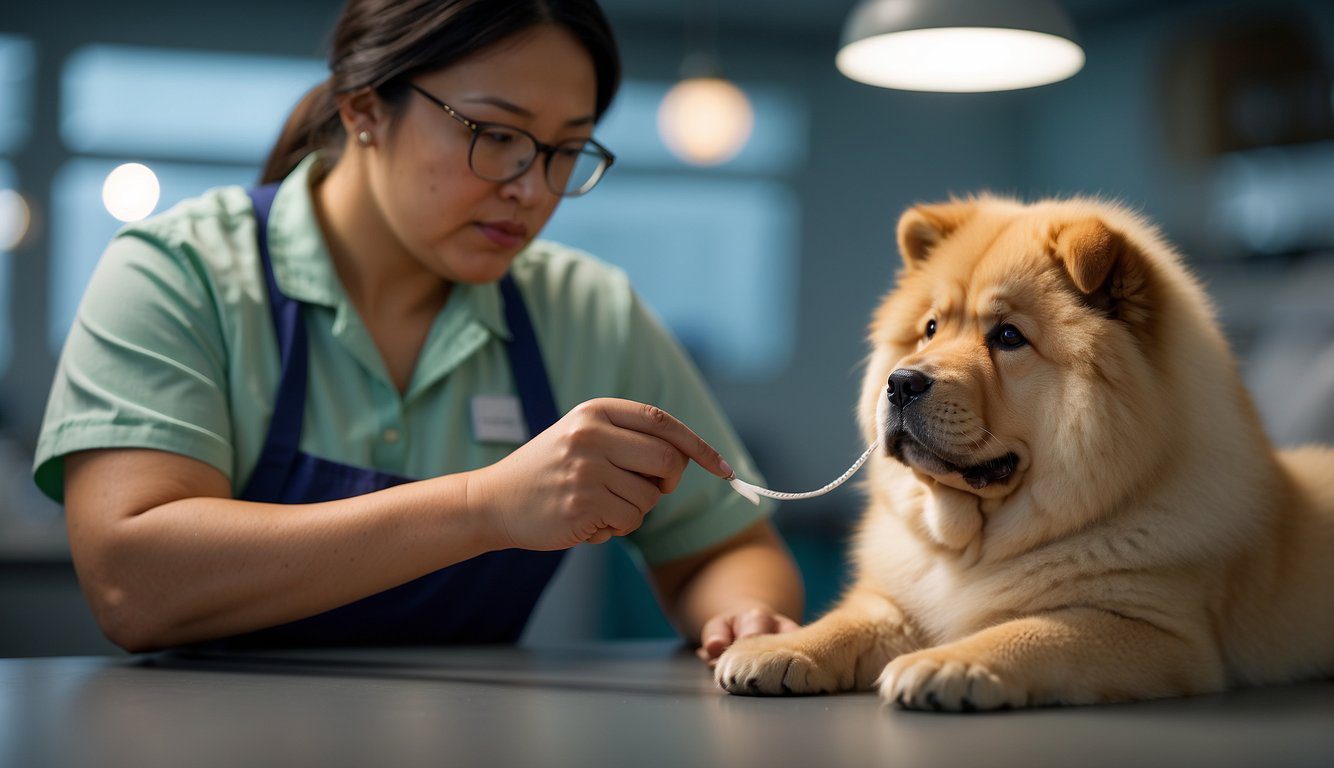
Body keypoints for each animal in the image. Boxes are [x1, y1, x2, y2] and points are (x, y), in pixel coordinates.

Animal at [720, 194, 1334, 709]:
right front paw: (774, 648)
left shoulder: (1153, 629)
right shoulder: (895, 602)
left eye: (1008, 337)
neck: (974, 547)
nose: (901, 383)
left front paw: (946, 663)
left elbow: (1030, 631)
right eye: (930, 329)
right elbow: (848, 621)